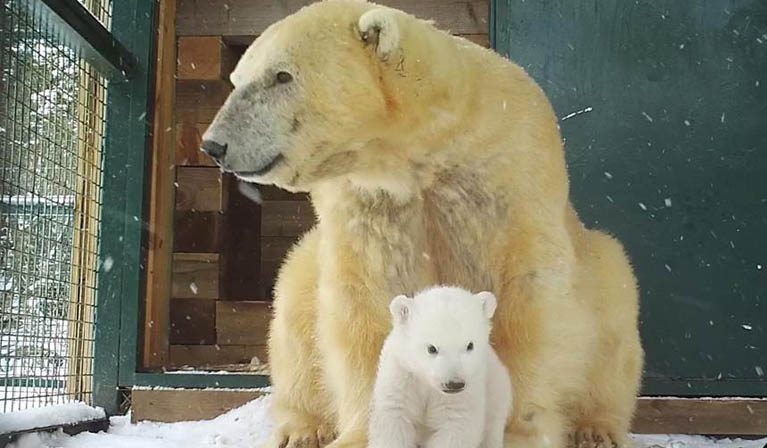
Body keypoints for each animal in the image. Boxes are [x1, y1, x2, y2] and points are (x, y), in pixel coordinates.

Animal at [201, 1, 644, 446]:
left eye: (281, 75)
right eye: (237, 78)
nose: (213, 145)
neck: (426, 151)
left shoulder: (511, 178)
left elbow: (529, 303)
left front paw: (514, 430)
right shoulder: (370, 205)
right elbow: (366, 303)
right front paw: (367, 431)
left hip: (604, 270)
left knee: (615, 318)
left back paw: (597, 428)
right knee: (294, 304)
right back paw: (299, 430)